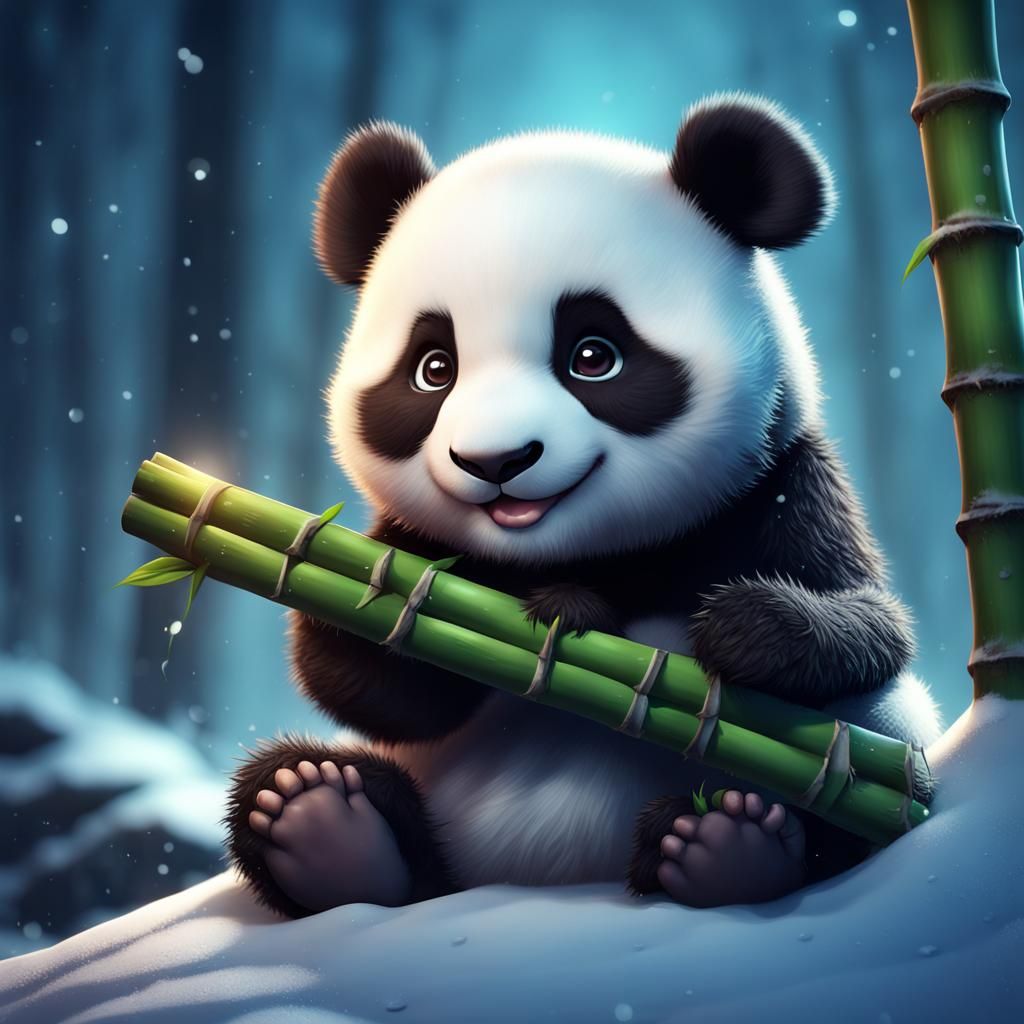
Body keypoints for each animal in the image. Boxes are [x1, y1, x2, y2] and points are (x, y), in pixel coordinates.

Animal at [226, 94, 941, 917]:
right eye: (433, 369)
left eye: (593, 356)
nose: (496, 462)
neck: (590, 555)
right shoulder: (415, 542)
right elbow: (382, 680)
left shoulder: (778, 485)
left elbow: (871, 626)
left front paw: (738, 628)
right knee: (301, 788)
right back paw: (324, 825)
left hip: (866, 761)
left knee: (855, 794)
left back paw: (727, 843)